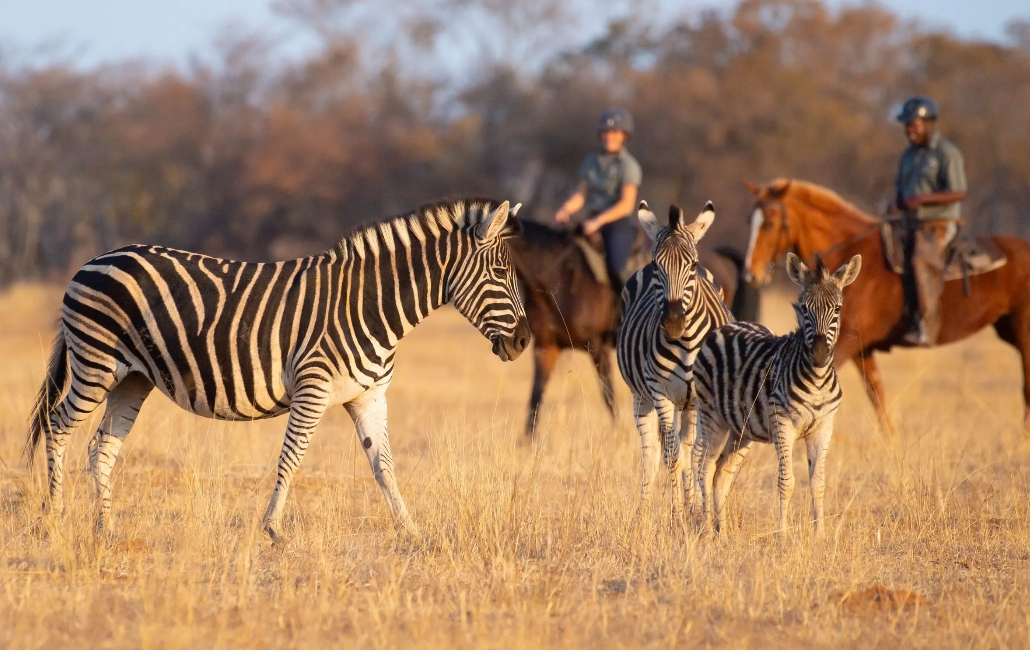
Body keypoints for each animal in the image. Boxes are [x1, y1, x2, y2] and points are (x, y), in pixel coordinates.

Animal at [509, 219, 758, 439]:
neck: (556, 277)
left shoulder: (597, 347)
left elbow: (608, 396)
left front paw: (618, 434)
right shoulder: (546, 347)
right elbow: (536, 396)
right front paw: (527, 441)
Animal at [743, 178, 1030, 437]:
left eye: (769, 223)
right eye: (750, 223)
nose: (750, 275)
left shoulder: (844, 342)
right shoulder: (861, 348)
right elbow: (877, 395)